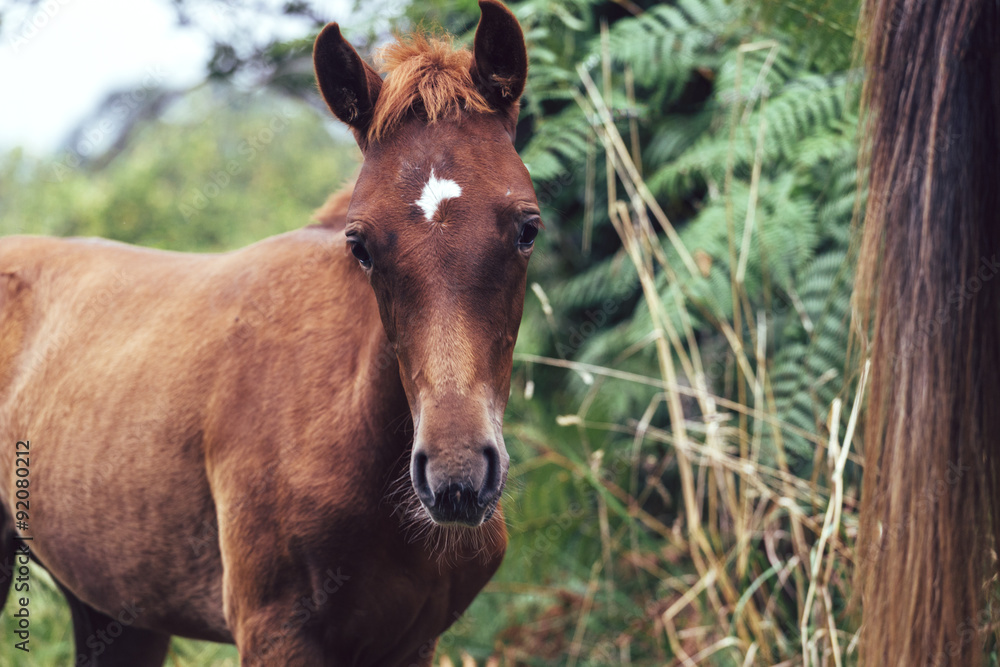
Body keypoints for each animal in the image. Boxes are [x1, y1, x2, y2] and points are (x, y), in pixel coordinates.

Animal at [0, 1, 538, 664]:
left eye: (528, 228)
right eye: (360, 246)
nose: (457, 477)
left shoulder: (413, 641)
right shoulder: (273, 632)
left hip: (117, 609)